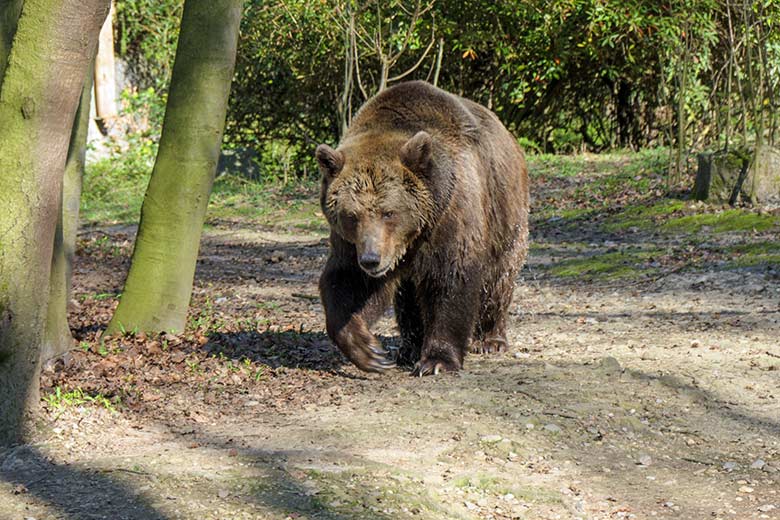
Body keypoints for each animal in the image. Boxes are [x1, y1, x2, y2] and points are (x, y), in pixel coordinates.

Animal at [316, 80, 532, 374]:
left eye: (389, 212)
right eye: (351, 215)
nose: (371, 259)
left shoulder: (450, 215)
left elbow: (452, 278)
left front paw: (437, 360)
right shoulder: (353, 244)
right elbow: (349, 283)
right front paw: (369, 350)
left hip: (505, 212)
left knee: (499, 277)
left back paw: (490, 339)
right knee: (407, 298)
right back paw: (408, 348)